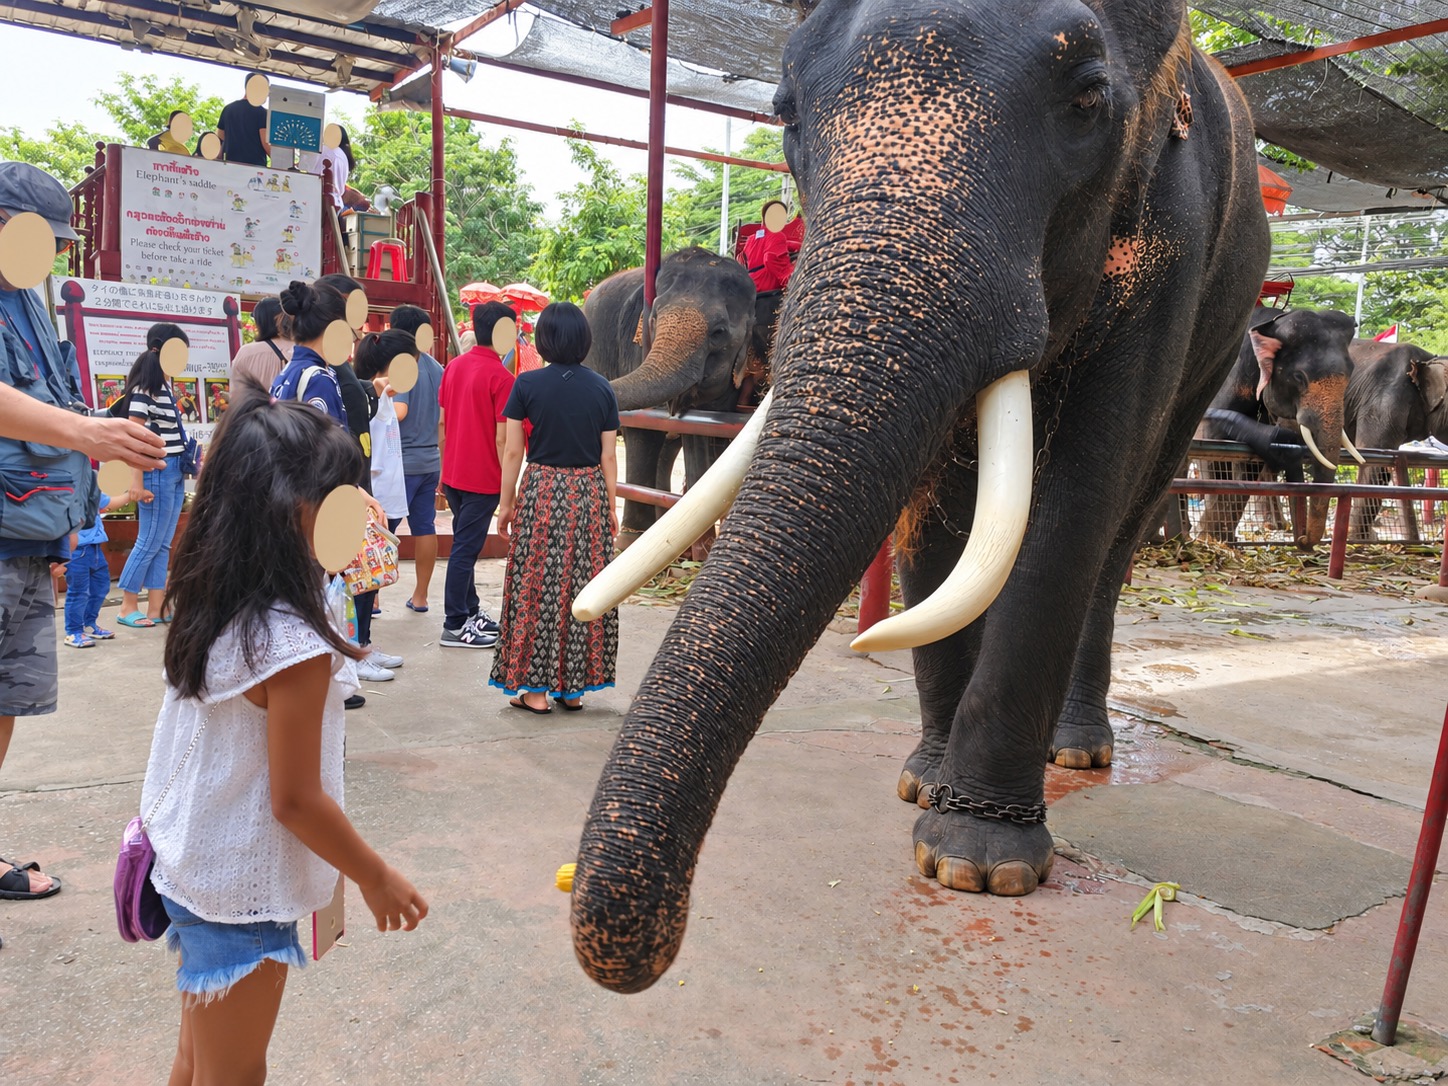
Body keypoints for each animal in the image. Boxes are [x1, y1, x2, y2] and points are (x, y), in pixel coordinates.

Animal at [583, 247, 757, 547]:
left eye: (719, 332)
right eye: (654, 318)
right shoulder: (635, 349)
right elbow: (643, 428)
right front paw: (628, 542)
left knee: (668, 447)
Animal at [1195, 307, 1358, 548]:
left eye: (1351, 373)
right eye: (1298, 376)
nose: (1302, 537)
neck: (1272, 322)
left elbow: (1248, 466)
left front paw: (1221, 539)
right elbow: (1211, 445)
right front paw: (1209, 539)